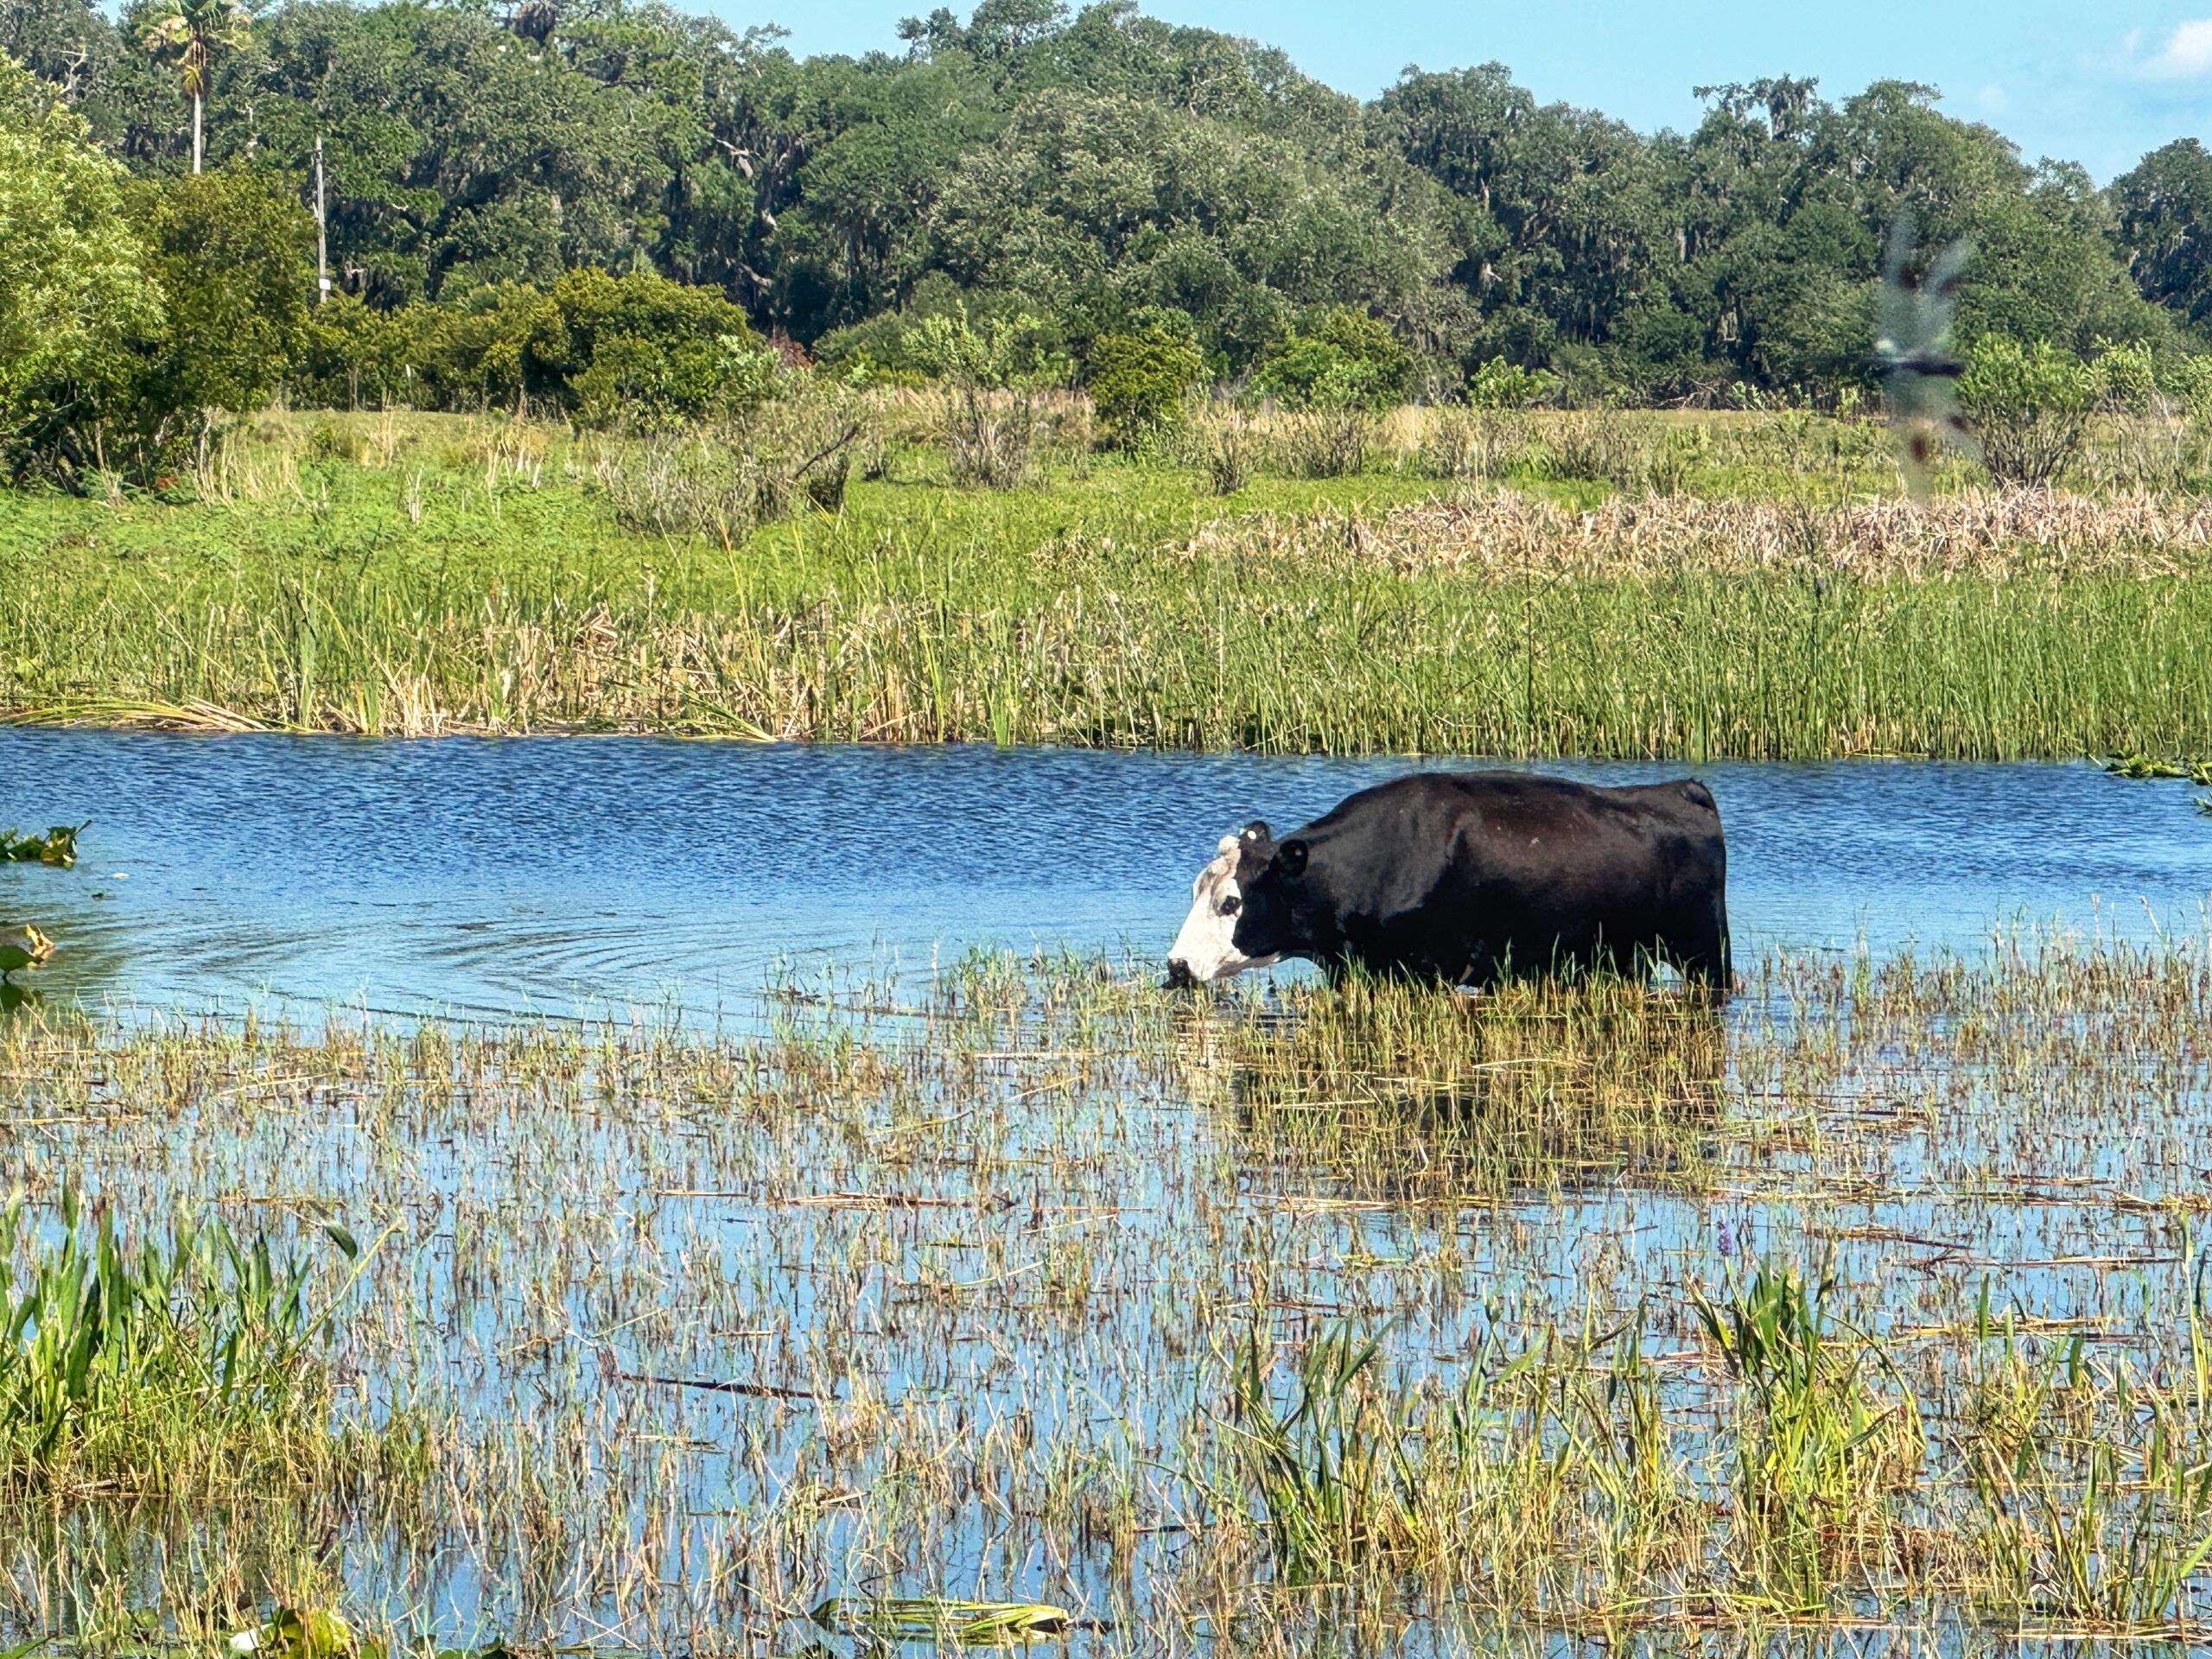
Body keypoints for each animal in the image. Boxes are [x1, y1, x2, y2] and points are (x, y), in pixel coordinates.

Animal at [1164, 771, 1730, 993]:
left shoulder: (1425, 971)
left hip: (1704, 951)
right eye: (1194, 890)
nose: (1177, 965)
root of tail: (1682, 789)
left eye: (1231, 902)